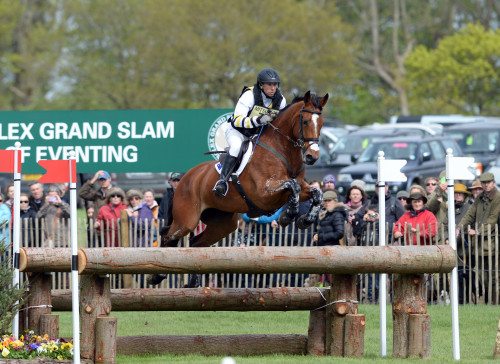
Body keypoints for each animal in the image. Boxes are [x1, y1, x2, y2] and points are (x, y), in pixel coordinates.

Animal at [162, 91, 330, 250]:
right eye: (306, 121)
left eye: (322, 124)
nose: (312, 157)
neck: (282, 151)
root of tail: (185, 179)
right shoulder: (264, 192)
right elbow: (292, 186)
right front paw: (287, 216)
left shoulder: (299, 187)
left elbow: (316, 193)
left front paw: (304, 220)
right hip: (186, 221)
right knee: (167, 238)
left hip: (222, 223)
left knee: (196, 242)